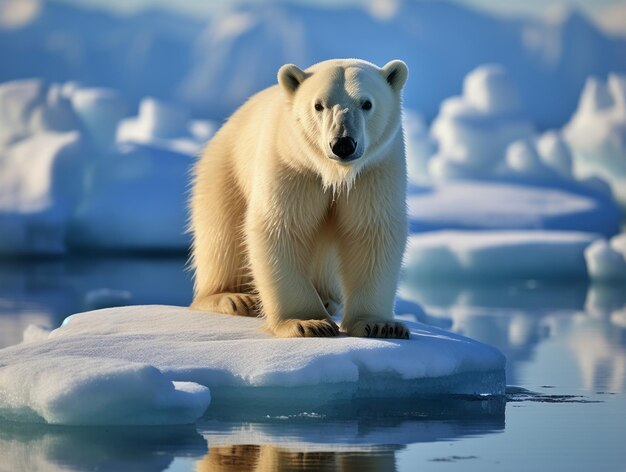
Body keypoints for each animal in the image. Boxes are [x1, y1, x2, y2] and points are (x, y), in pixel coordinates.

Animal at [188, 59, 408, 340]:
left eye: (366, 103)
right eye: (318, 105)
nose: (343, 143)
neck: (331, 172)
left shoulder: (374, 171)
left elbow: (372, 232)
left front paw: (380, 325)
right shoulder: (292, 165)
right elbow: (282, 228)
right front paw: (308, 322)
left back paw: (327, 298)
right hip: (225, 168)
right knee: (221, 234)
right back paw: (233, 297)